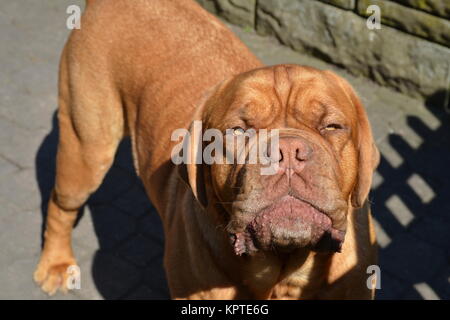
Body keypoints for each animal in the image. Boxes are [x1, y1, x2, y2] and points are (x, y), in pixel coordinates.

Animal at [34, 0, 380, 300]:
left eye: (331, 126)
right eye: (238, 130)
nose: (288, 149)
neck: (282, 271)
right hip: (87, 146)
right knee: (62, 203)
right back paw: (56, 264)